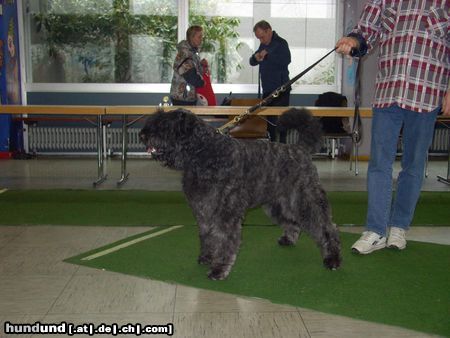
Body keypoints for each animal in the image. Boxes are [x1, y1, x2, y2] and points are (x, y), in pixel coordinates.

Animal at [140, 108, 342, 280]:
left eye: (165, 124)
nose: (142, 135)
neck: (204, 153)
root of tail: (300, 149)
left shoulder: (225, 213)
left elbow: (223, 239)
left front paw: (219, 269)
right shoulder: (203, 210)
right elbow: (207, 235)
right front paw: (206, 257)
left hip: (306, 199)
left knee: (326, 227)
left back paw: (333, 259)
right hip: (278, 203)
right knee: (292, 221)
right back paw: (289, 239)